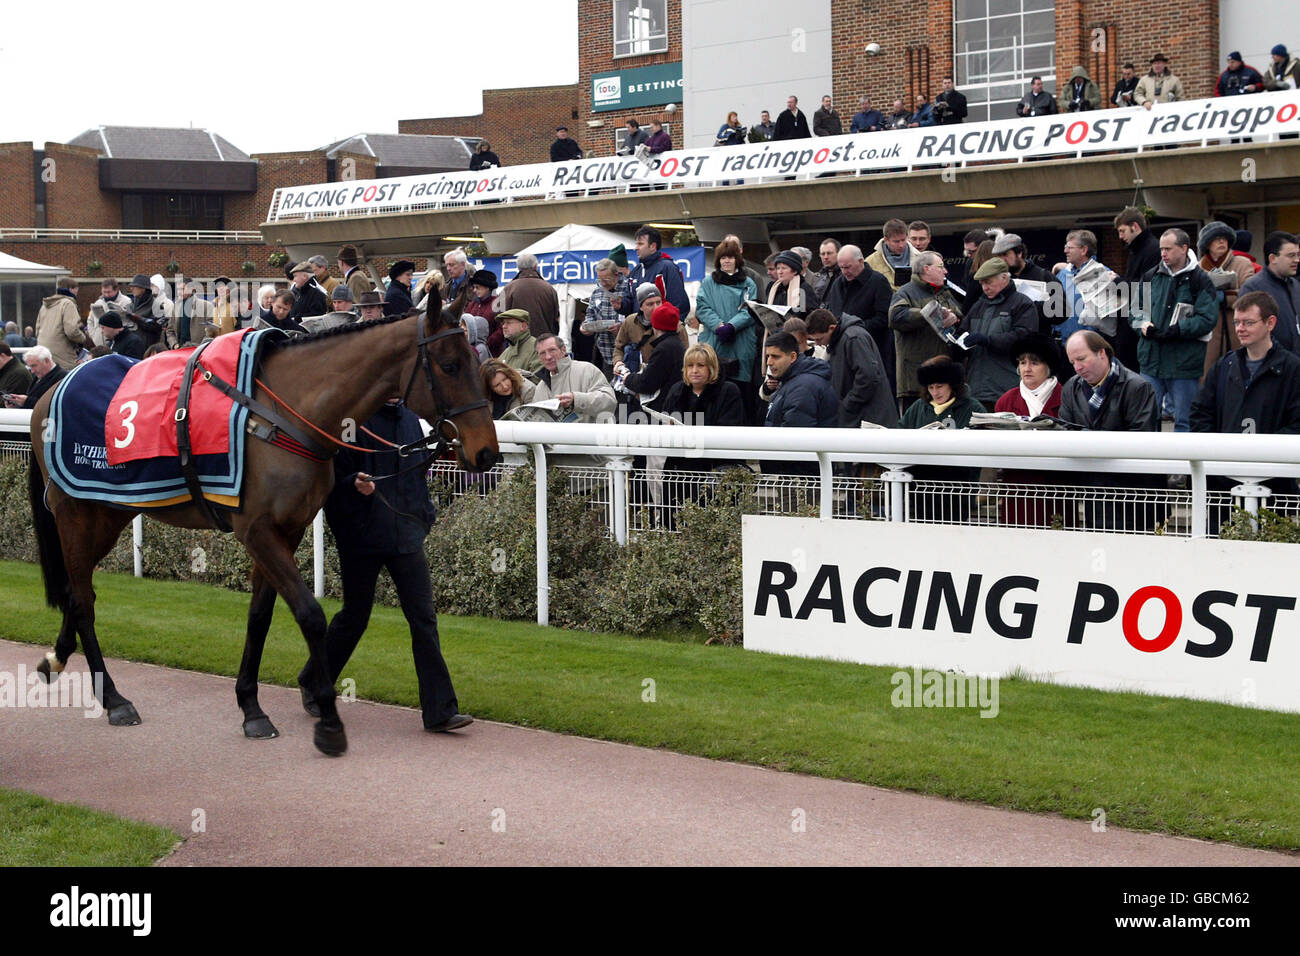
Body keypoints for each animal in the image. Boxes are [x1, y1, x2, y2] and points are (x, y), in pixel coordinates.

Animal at [30, 306, 499, 754]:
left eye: (477, 363)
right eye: (449, 365)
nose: (486, 452)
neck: (285, 413)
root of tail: (50, 391)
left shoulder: (286, 531)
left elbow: (260, 617)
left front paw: (251, 708)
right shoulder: (257, 531)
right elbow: (309, 614)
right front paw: (328, 721)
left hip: (109, 512)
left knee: (76, 592)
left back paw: (56, 658)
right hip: (76, 514)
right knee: (84, 601)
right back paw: (114, 699)